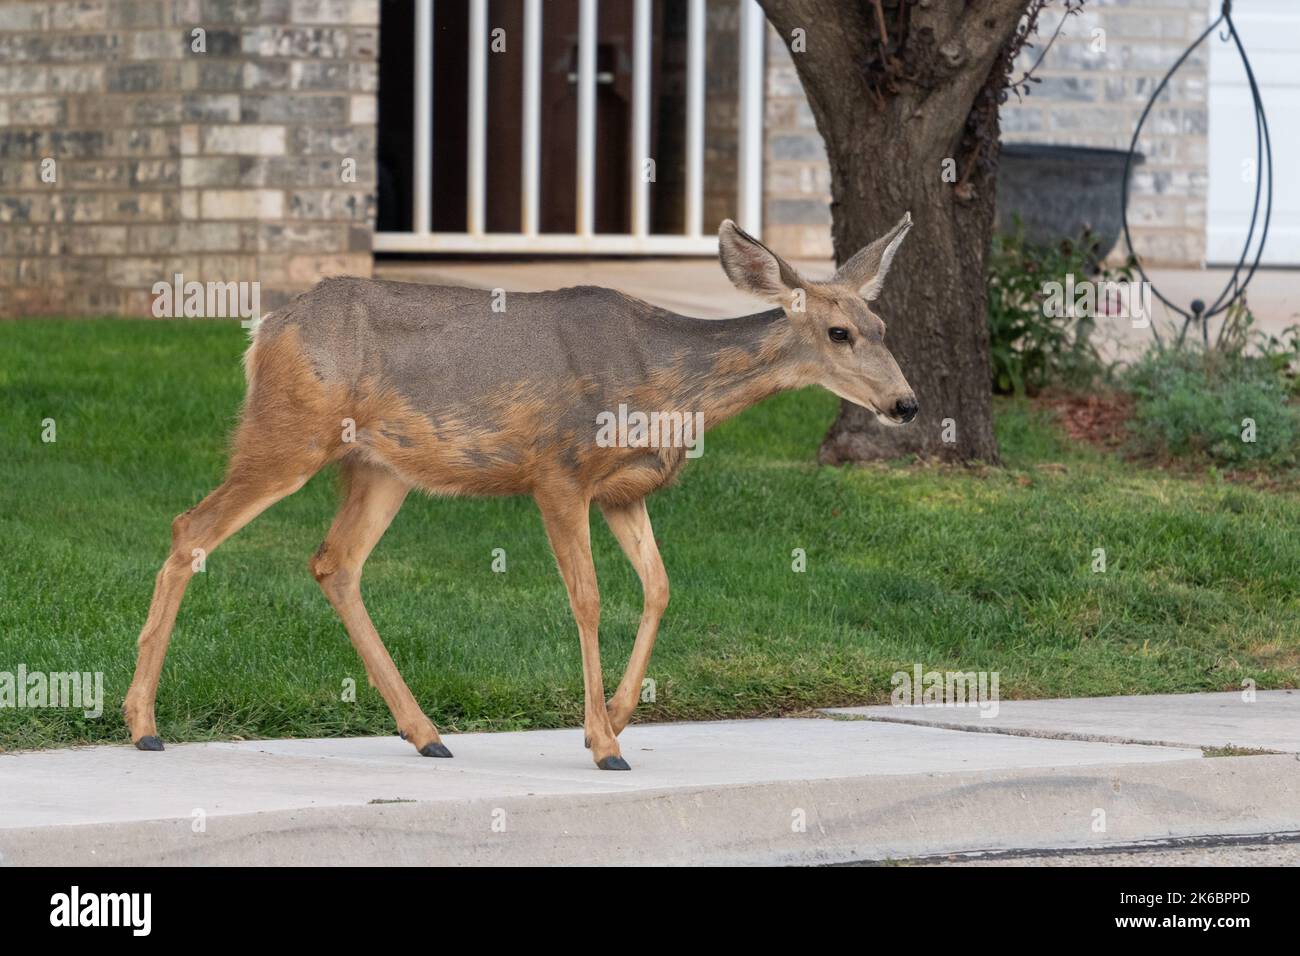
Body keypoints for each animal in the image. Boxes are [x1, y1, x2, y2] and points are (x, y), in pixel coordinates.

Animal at [124, 210, 915, 770]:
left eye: (882, 324)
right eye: (839, 332)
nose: (906, 404)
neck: (666, 388)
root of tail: (265, 328)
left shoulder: (624, 491)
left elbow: (660, 588)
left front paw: (615, 718)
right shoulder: (557, 470)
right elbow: (588, 597)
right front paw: (604, 744)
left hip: (381, 468)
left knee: (335, 562)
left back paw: (426, 733)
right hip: (289, 431)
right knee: (191, 528)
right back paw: (143, 726)